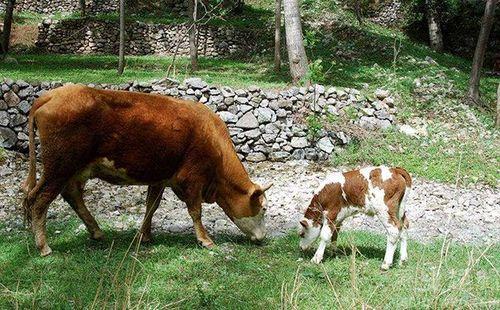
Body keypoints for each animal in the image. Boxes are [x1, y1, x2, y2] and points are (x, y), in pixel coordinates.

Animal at [22, 83, 274, 256]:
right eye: (263, 209)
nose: (263, 237)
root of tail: (53, 94)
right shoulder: (191, 178)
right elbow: (195, 211)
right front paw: (205, 239)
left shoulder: (160, 177)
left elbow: (151, 206)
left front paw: (145, 236)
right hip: (59, 167)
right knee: (39, 199)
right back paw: (44, 246)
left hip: (75, 169)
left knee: (71, 194)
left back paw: (96, 231)